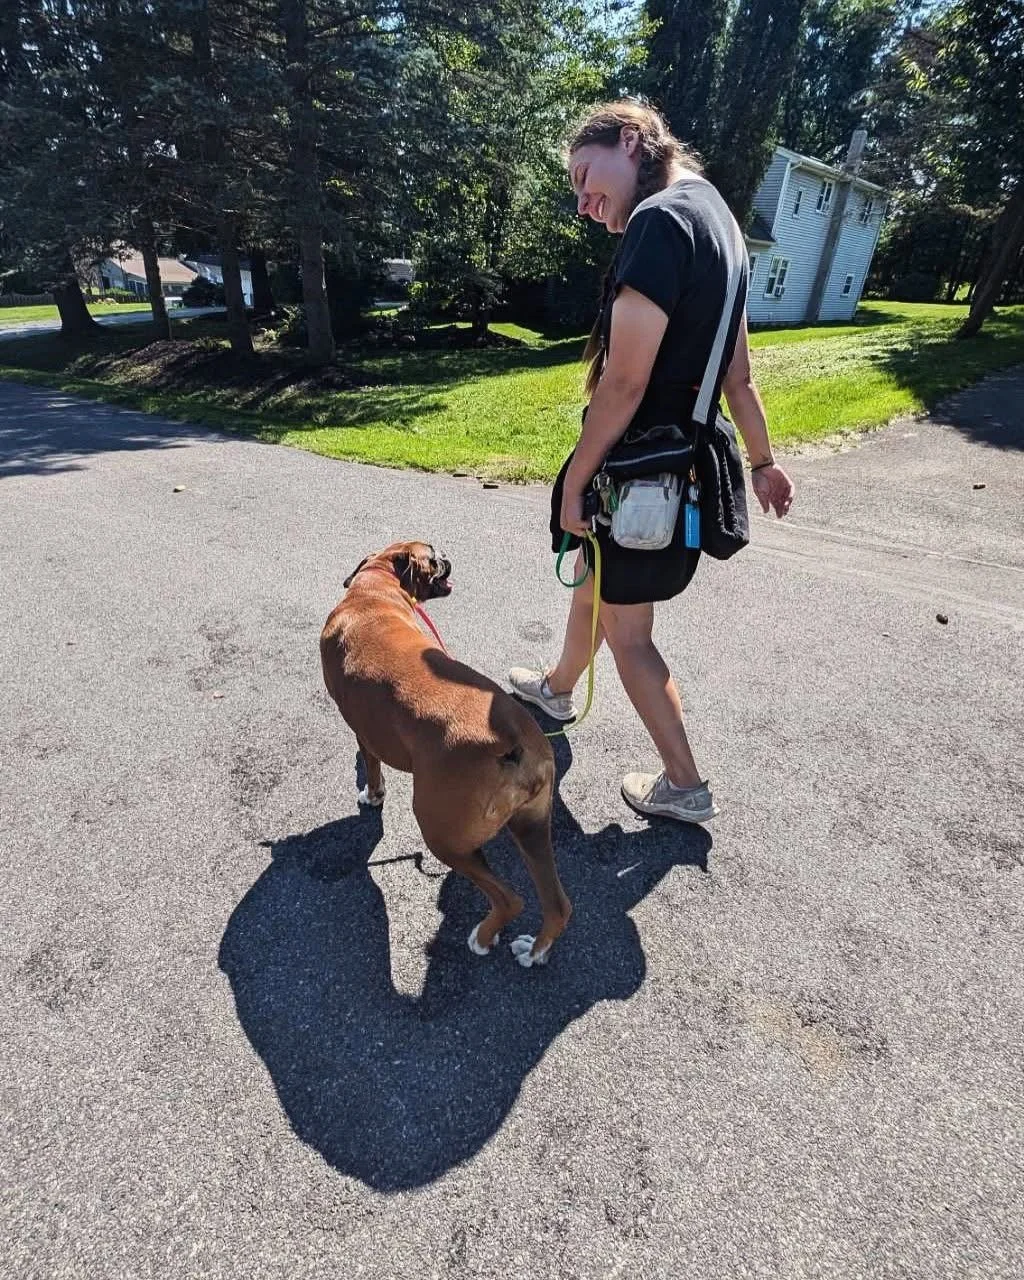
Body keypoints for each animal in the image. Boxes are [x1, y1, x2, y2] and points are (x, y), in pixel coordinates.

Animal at [320, 541, 571, 968]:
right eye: (433, 556)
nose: (447, 559)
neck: (375, 590)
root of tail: (513, 737)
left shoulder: (363, 730)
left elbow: (371, 763)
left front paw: (372, 794)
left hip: (443, 834)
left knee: (511, 899)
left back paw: (483, 939)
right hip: (532, 827)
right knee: (558, 905)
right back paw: (534, 952)